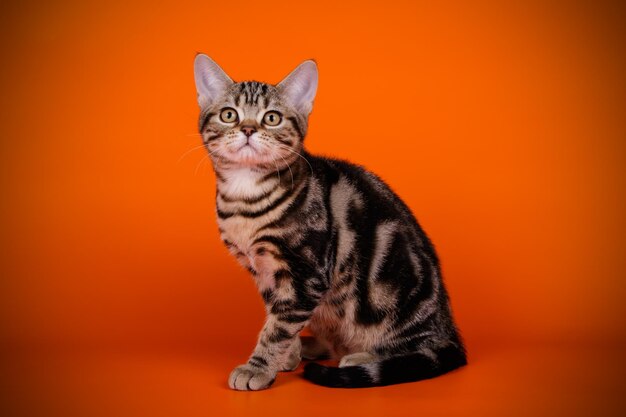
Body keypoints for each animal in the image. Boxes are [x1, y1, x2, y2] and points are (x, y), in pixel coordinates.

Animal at [193, 55, 466, 390]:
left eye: (272, 118)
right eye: (229, 114)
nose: (247, 129)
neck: (246, 197)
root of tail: (449, 328)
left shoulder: (305, 273)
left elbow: (278, 327)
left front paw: (258, 367)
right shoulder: (266, 274)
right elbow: (277, 318)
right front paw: (286, 356)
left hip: (395, 292)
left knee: (417, 345)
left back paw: (361, 356)